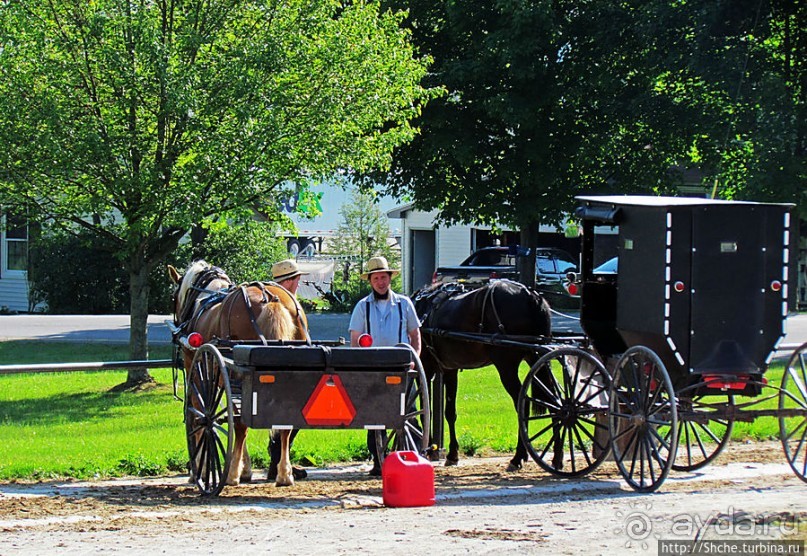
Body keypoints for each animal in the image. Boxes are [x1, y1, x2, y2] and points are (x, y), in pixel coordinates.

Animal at [167, 260, 310, 486]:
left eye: (174, 296)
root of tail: (270, 298)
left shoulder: (197, 371)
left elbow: (200, 415)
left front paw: (199, 469)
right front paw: (246, 468)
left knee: (241, 423)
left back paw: (232, 473)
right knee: (283, 423)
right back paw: (284, 473)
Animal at [414, 278, 552, 470]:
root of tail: (529, 294)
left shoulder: (425, 369)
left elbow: (426, 409)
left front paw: (429, 449)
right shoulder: (450, 369)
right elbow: (449, 412)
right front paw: (452, 454)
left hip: (506, 365)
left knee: (522, 404)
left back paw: (518, 457)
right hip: (535, 356)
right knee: (554, 401)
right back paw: (557, 456)